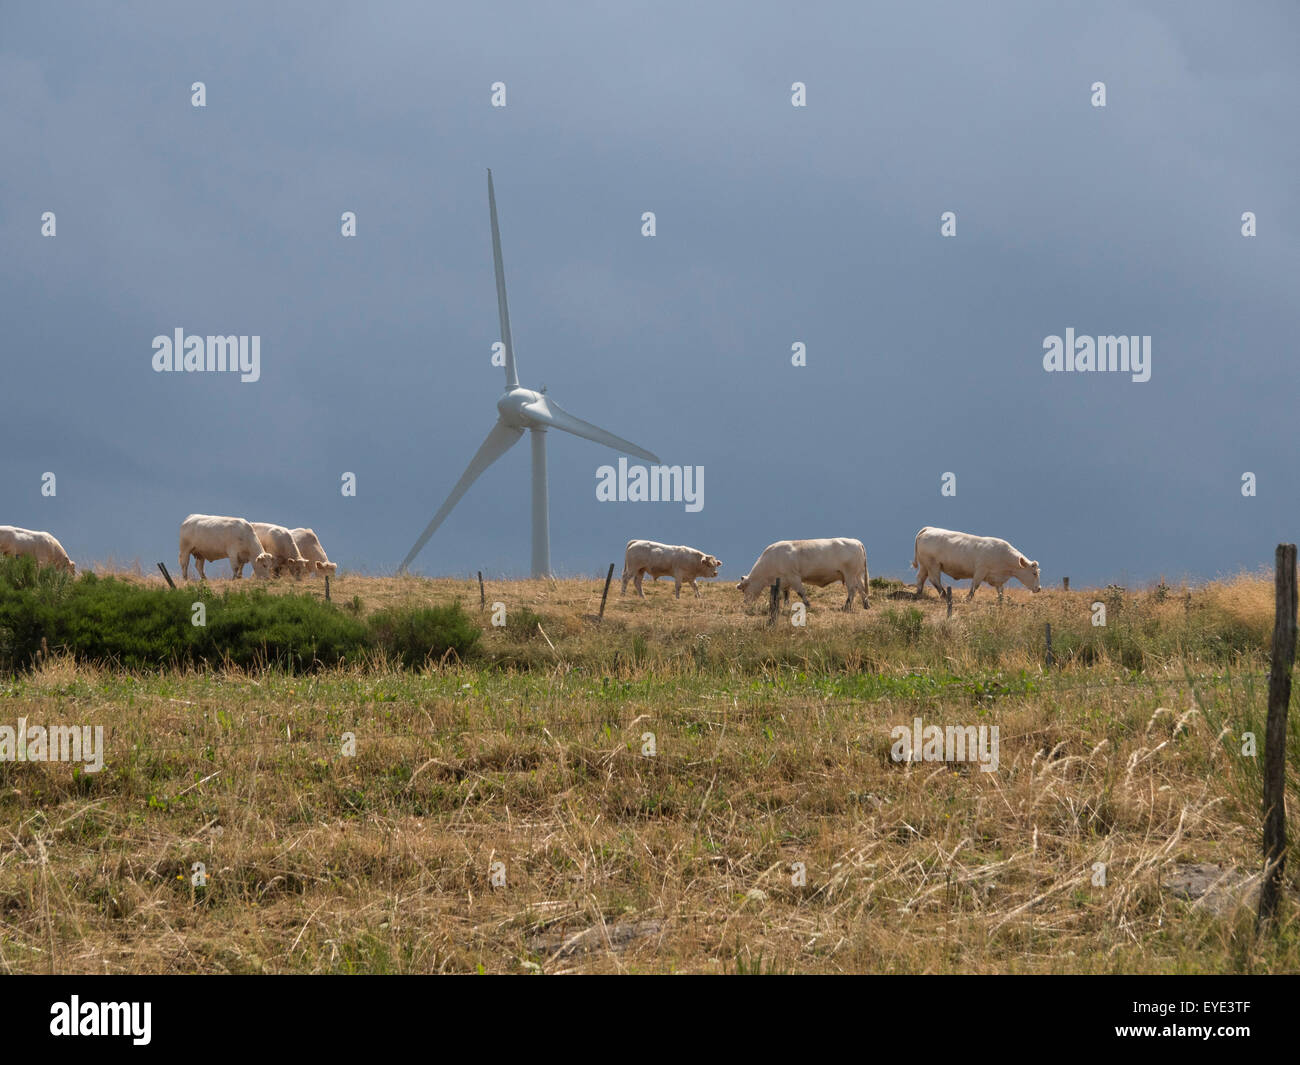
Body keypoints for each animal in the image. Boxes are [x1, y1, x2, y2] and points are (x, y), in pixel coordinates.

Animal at [736, 538, 870, 611]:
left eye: (744, 590)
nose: (745, 604)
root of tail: (856, 541)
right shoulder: (784, 581)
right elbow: (786, 595)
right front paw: (785, 606)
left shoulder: (794, 577)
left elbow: (801, 592)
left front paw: (808, 605)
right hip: (857, 575)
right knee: (861, 589)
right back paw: (866, 605)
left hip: (850, 574)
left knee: (852, 590)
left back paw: (846, 607)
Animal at [911, 526, 1041, 601]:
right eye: (1034, 573)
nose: (1039, 588)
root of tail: (929, 529)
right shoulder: (981, 570)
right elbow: (975, 586)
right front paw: (968, 598)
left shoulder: (997, 578)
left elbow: (1000, 591)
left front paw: (1001, 601)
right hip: (933, 564)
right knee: (934, 579)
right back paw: (944, 595)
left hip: (925, 565)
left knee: (920, 577)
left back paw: (919, 593)